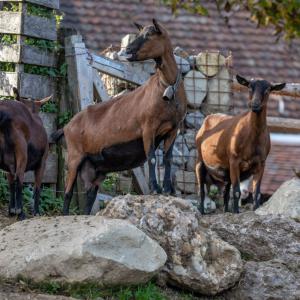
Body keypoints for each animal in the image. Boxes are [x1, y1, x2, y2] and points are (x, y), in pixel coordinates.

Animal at [0, 88, 51, 219]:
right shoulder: (42, 163)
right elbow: (37, 187)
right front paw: (36, 212)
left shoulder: (9, 166)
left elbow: (10, 184)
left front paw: (11, 210)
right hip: (22, 152)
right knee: (20, 178)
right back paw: (21, 213)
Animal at [52, 19, 186, 216]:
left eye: (149, 35)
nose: (126, 51)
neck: (166, 87)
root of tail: (66, 127)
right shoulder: (148, 127)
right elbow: (152, 158)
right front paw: (155, 189)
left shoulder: (173, 129)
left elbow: (168, 159)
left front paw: (168, 190)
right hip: (75, 156)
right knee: (68, 193)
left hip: (95, 170)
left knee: (89, 196)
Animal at [196, 76, 284, 214]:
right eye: (249, 87)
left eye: (268, 89)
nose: (255, 104)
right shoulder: (234, 160)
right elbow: (237, 192)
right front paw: (236, 212)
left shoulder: (261, 163)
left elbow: (257, 193)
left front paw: (255, 210)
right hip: (200, 159)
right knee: (201, 190)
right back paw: (201, 211)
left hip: (226, 170)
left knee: (226, 193)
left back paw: (226, 210)